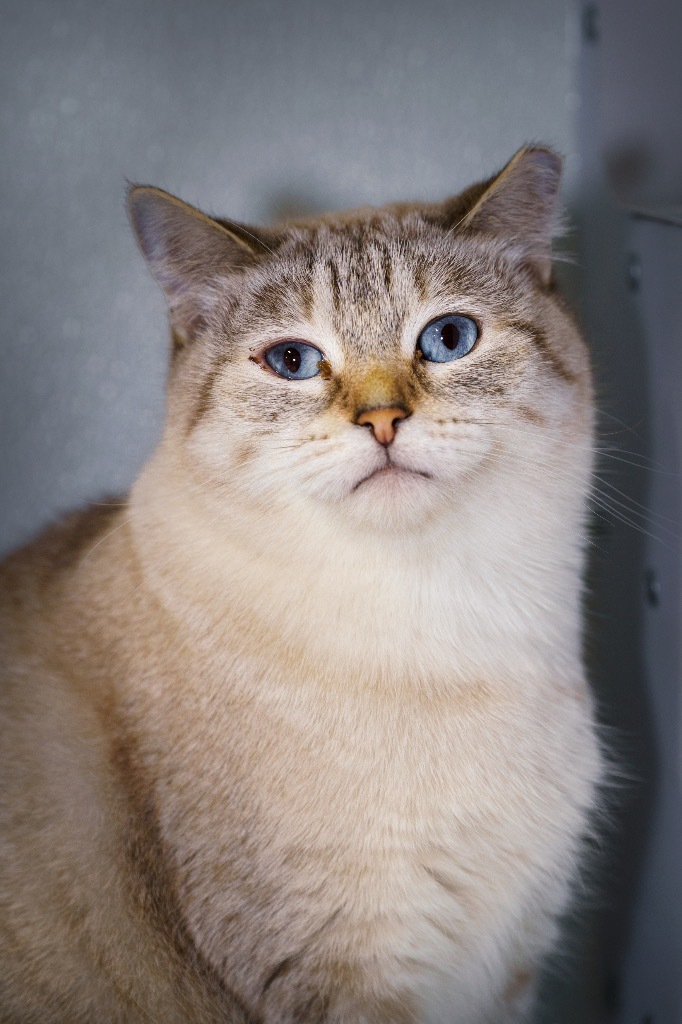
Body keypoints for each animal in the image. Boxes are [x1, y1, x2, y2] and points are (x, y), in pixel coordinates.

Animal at [0, 146, 602, 1024]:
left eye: (448, 338)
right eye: (293, 362)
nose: (383, 421)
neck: (439, 635)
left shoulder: (509, 969)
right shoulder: (340, 970)